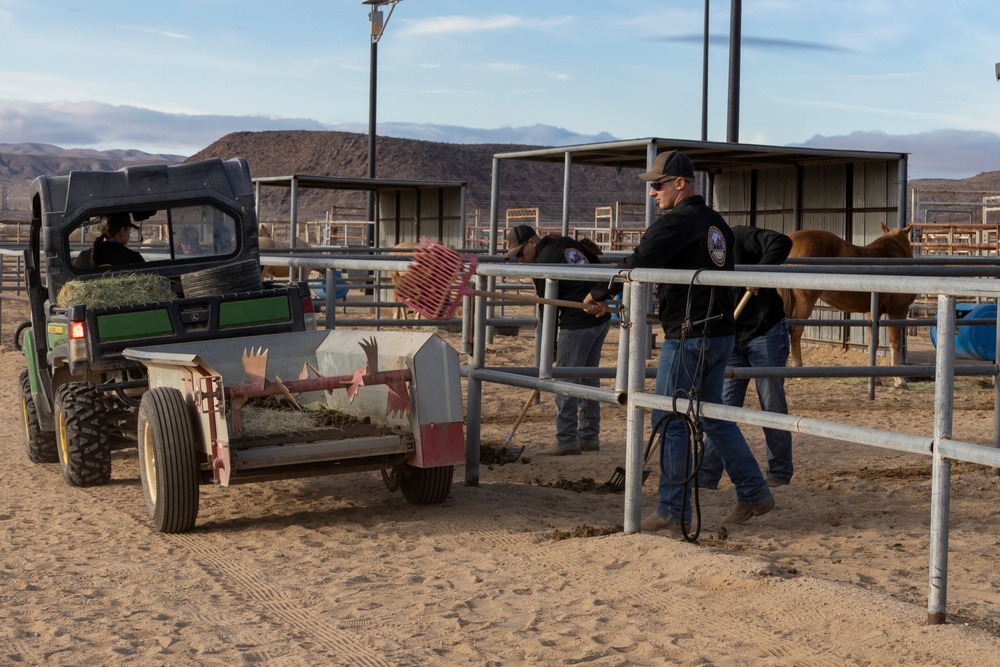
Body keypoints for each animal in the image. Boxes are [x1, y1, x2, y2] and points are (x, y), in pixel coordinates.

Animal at [780, 224, 916, 388]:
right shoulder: (897, 310)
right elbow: (894, 343)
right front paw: (900, 380)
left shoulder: (873, 311)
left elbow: (873, 343)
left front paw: (876, 378)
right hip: (806, 301)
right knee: (796, 330)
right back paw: (798, 369)